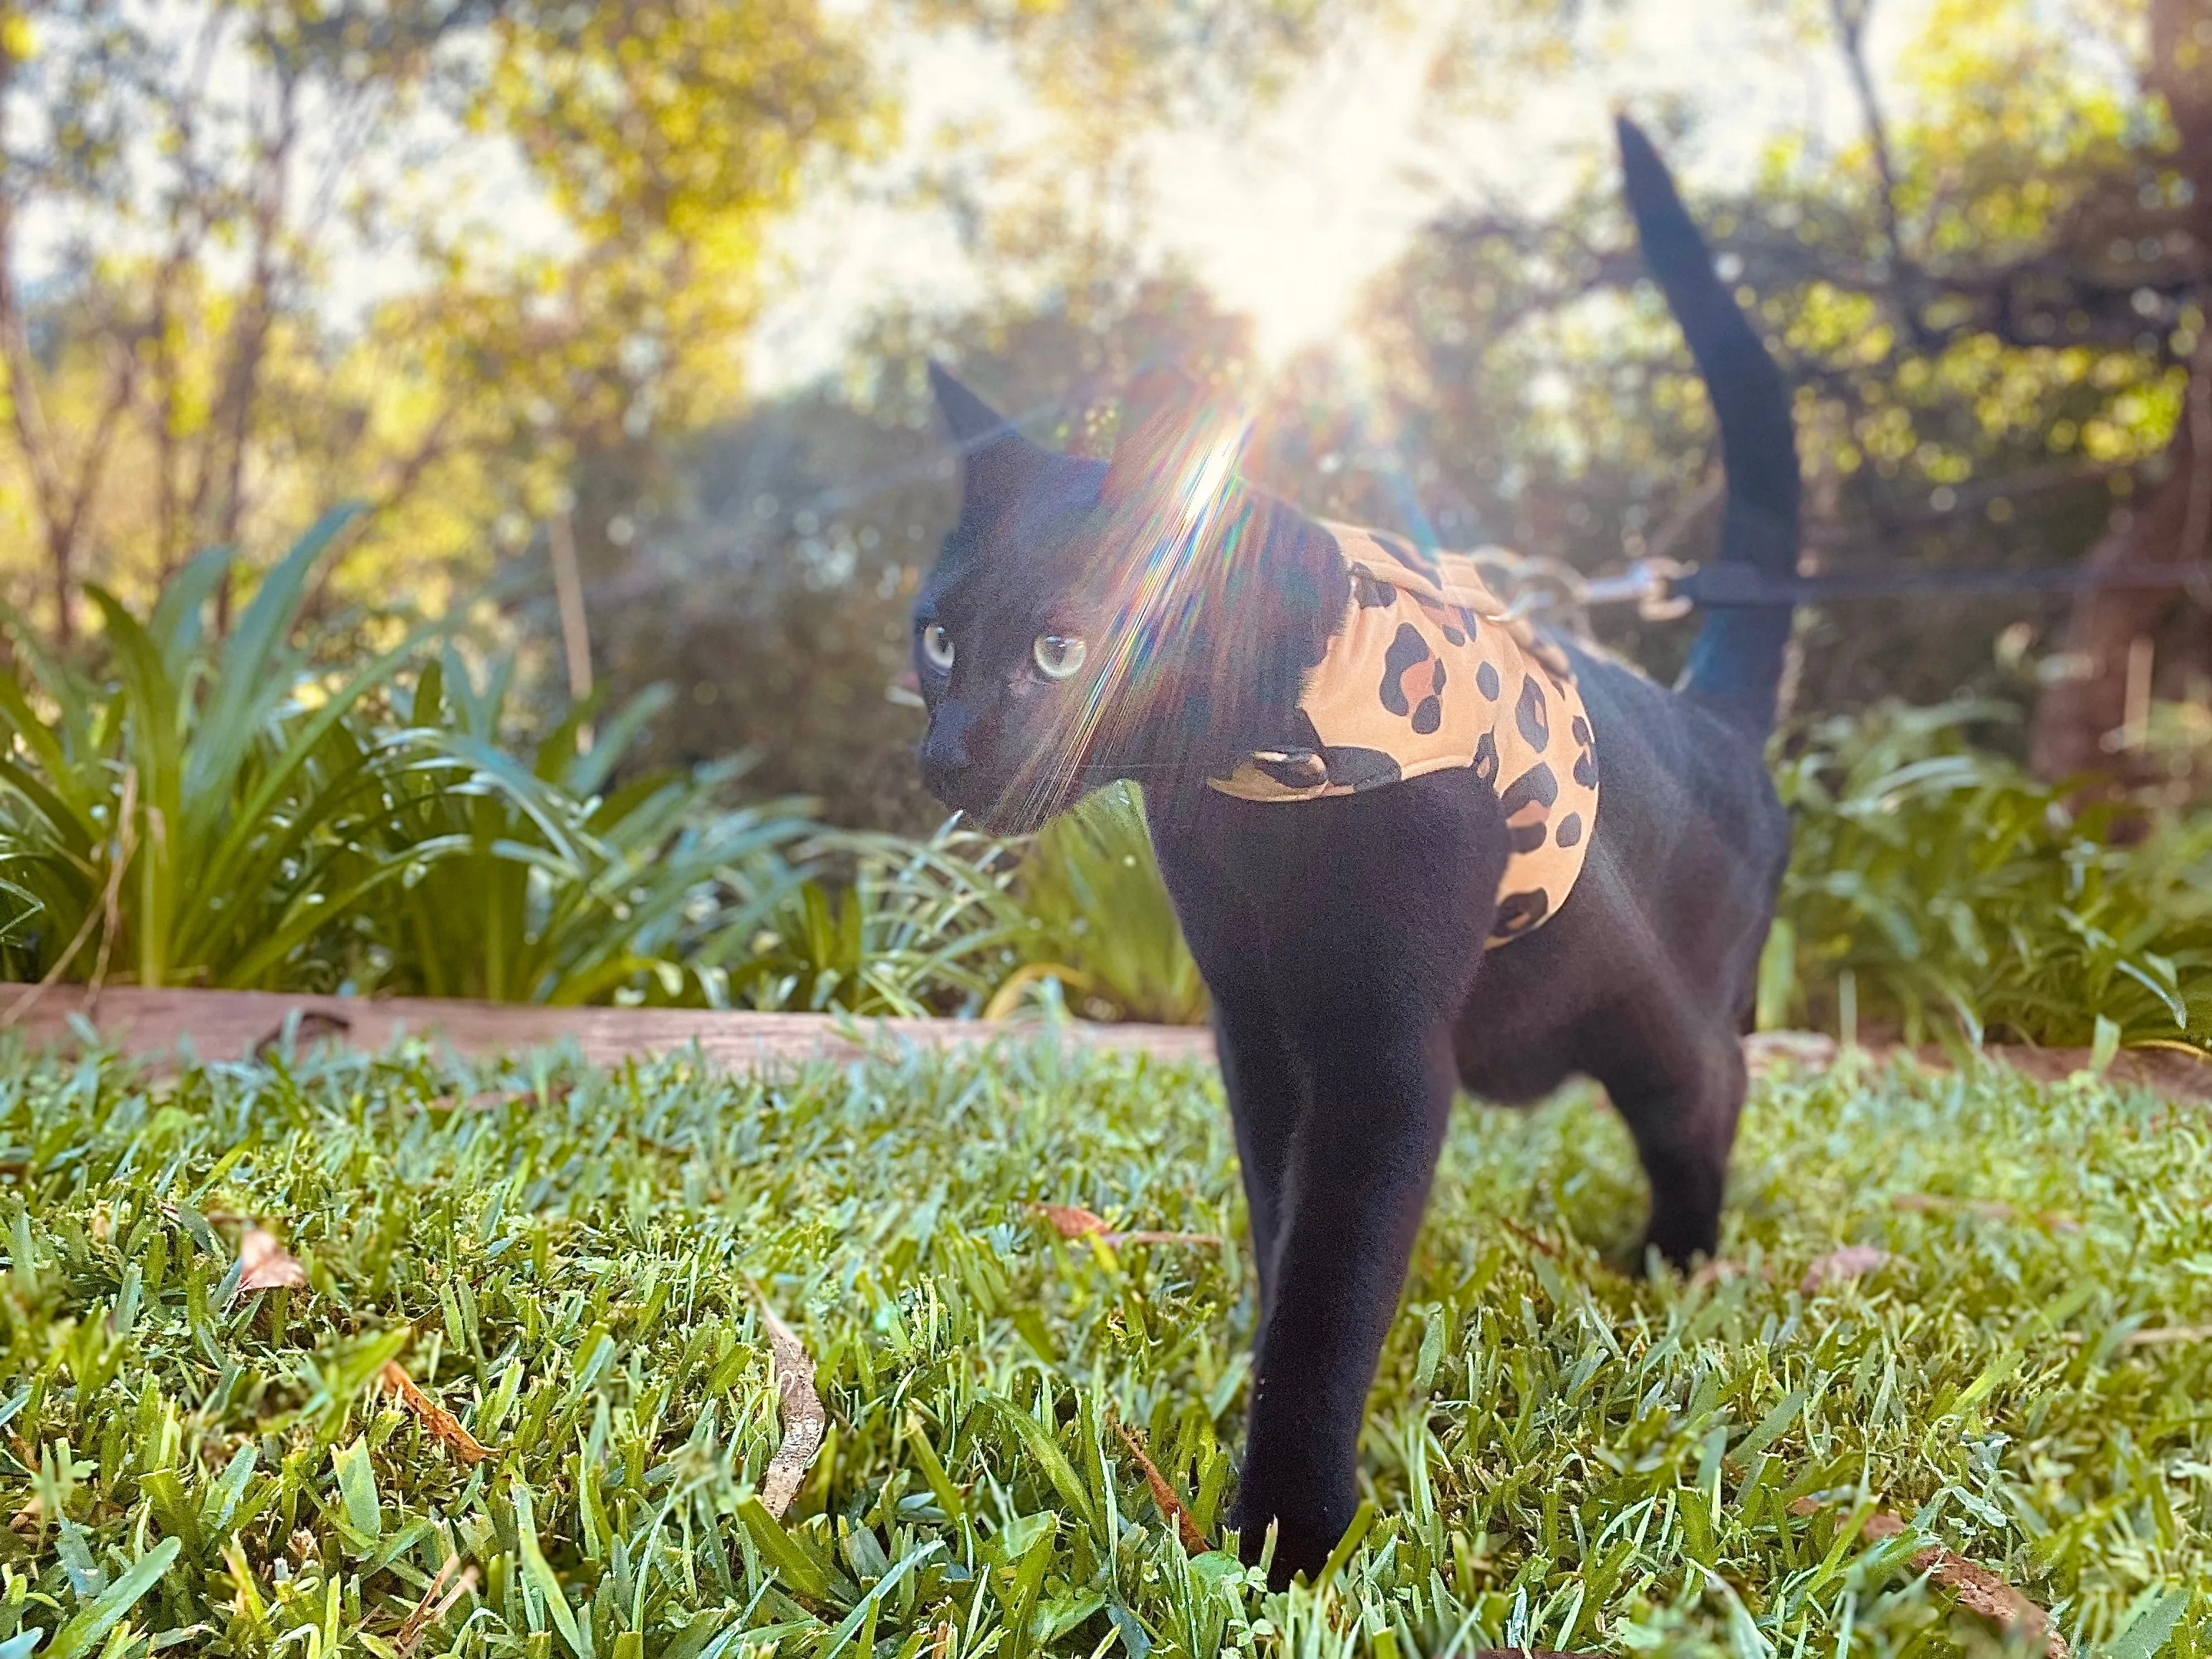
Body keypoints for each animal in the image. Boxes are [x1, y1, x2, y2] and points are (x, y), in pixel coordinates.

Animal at [911, 120, 1796, 1584]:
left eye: (1058, 649)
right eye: (934, 637)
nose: (950, 752)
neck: (1260, 790)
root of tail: (1714, 720)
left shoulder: (1380, 1056)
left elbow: (1334, 1286)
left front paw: (1286, 1532)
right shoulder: (1255, 1030)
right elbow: (1289, 1228)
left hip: (1655, 1027)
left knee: (1711, 1088)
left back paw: (1675, 1262)